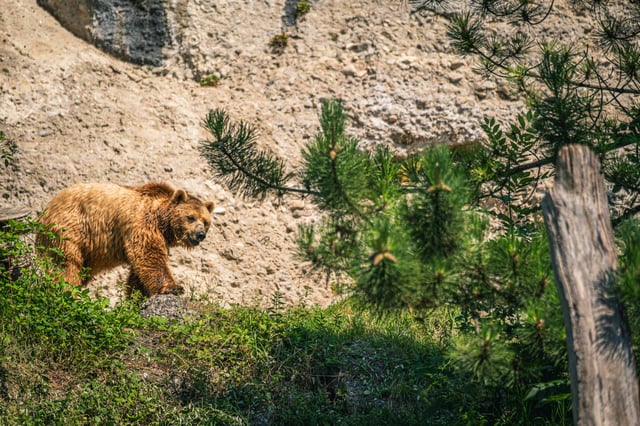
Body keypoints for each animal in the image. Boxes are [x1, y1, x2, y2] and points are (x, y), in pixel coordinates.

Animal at [36, 182, 215, 297]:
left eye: (206, 222)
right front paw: (174, 288)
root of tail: (48, 207)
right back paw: (67, 291)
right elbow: (150, 256)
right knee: (66, 263)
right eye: (190, 217)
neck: (161, 220)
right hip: (69, 229)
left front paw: (136, 298)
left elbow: (139, 273)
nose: (200, 234)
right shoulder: (142, 224)